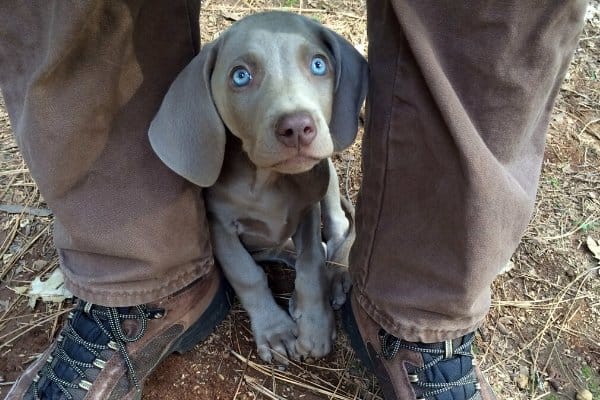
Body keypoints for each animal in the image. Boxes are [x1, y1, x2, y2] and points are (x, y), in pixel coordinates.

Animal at [148, 11, 368, 362]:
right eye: (240, 76)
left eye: (319, 64)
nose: (297, 127)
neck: (267, 181)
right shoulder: (219, 227)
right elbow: (247, 274)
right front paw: (275, 331)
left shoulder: (307, 210)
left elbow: (311, 264)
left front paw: (316, 326)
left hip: (328, 174)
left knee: (338, 227)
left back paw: (335, 275)